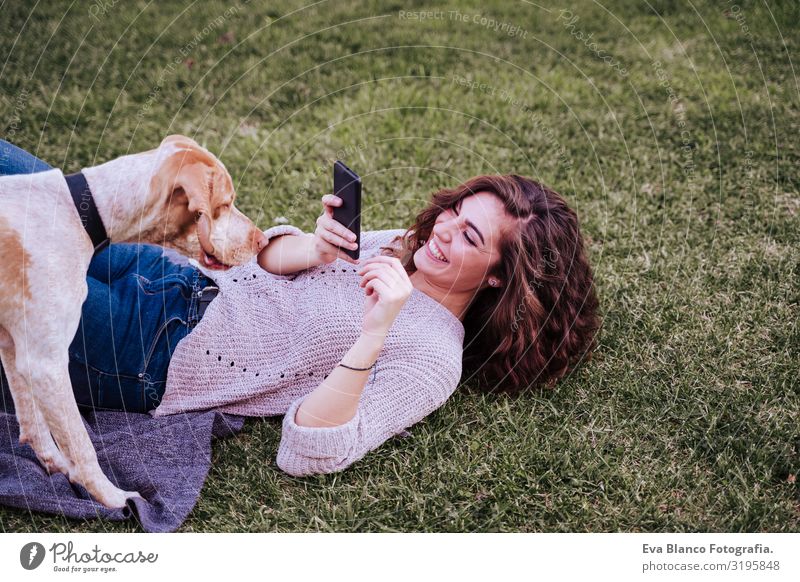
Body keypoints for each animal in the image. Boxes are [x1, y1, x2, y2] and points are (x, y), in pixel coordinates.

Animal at [0, 135, 268, 508]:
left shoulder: (15, 344)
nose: (263, 240)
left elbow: (32, 418)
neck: (81, 213)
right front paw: (113, 500)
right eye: (225, 204)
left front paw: (56, 465)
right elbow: (81, 445)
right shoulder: (45, 363)